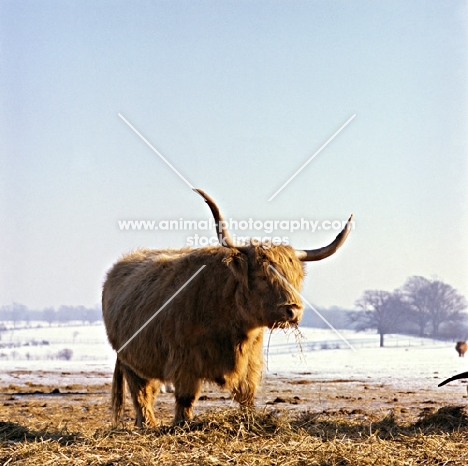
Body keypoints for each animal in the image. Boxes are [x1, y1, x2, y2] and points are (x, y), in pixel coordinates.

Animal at [101, 189, 352, 426]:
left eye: (296, 278)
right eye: (262, 276)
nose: (293, 311)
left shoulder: (250, 362)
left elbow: (247, 396)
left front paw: (249, 419)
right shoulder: (184, 363)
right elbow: (185, 399)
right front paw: (182, 424)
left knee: (150, 390)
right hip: (129, 361)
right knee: (140, 394)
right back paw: (148, 424)